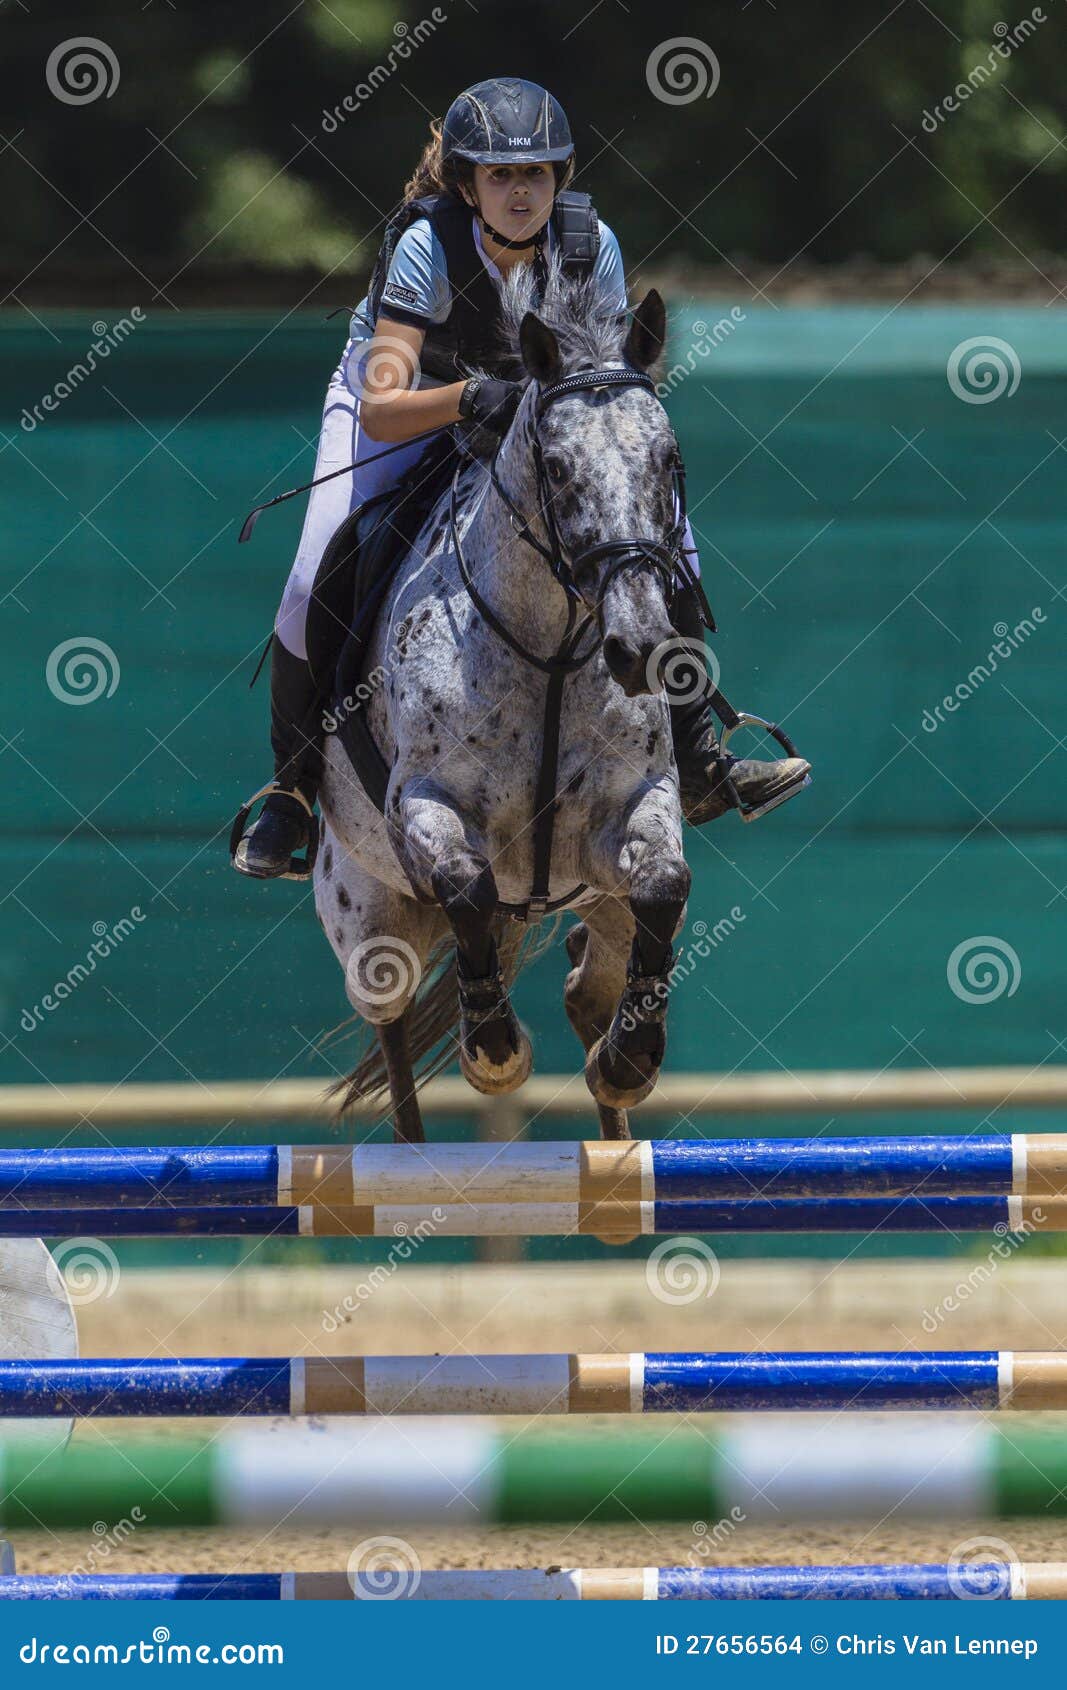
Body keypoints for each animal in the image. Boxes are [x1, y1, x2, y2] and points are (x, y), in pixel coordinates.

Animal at [315, 263, 695, 1145]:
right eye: (554, 467)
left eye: (667, 460)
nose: (638, 645)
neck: (550, 653)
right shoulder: (423, 805)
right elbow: (465, 882)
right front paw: (493, 1050)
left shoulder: (637, 804)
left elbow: (665, 884)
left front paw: (631, 1059)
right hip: (364, 908)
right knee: (389, 1018)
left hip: (599, 903)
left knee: (590, 983)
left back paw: (616, 1114)